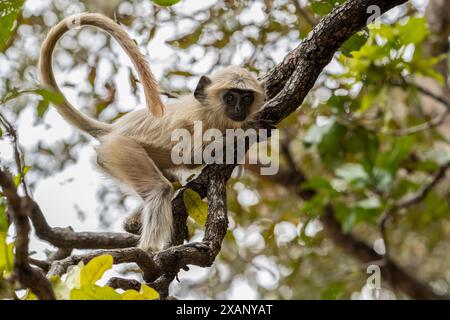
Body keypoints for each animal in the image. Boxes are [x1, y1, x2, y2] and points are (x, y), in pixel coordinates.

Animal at [38, 13, 268, 252]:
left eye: (246, 98)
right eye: (230, 97)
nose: (239, 109)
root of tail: (114, 129)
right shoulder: (201, 120)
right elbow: (192, 156)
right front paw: (249, 129)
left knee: (170, 182)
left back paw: (132, 224)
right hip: (121, 149)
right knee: (161, 189)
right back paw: (148, 251)